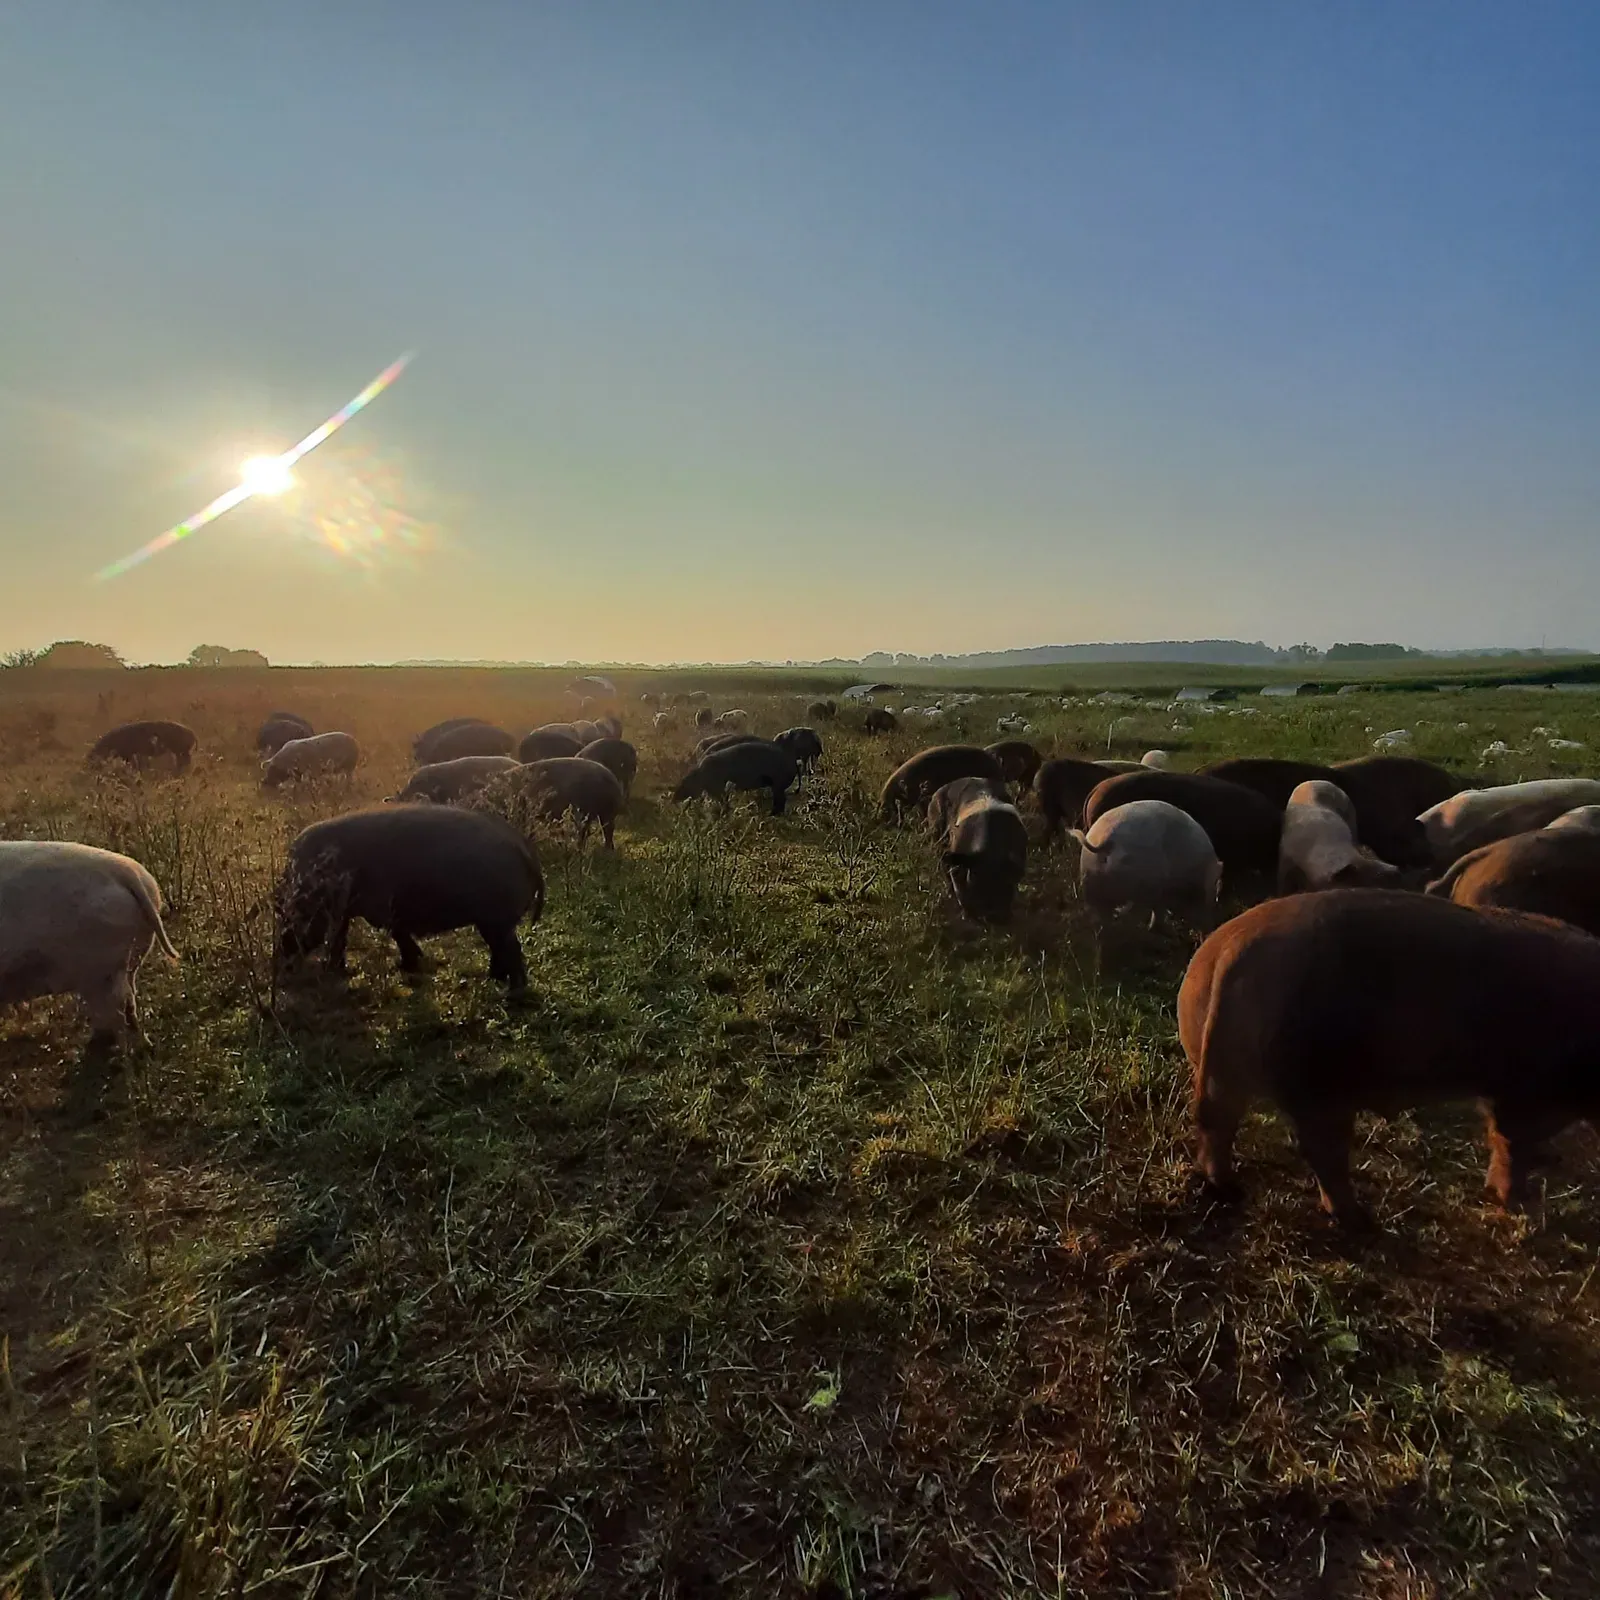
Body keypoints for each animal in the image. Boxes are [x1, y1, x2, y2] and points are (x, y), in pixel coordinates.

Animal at [276, 805, 542, 992]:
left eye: (292, 912)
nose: (281, 964)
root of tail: (522, 846)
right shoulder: (347, 912)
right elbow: (340, 939)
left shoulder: (377, 908)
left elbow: (393, 932)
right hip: (492, 922)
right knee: (501, 949)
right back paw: (493, 981)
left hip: (496, 919)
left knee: (511, 949)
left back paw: (513, 992)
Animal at [928, 777, 1028, 922]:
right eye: (975, 878)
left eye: (1005, 882)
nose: (994, 918)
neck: (991, 853)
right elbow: (960, 889)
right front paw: (967, 916)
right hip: (936, 830)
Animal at [1180, 888, 1600, 1227]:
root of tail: (1230, 949)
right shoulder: (1528, 1090)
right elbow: (1513, 1143)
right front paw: (1519, 1204)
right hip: (1321, 1081)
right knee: (1321, 1149)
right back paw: (1359, 1220)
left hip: (1223, 1069)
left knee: (1216, 1121)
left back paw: (1229, 1190)